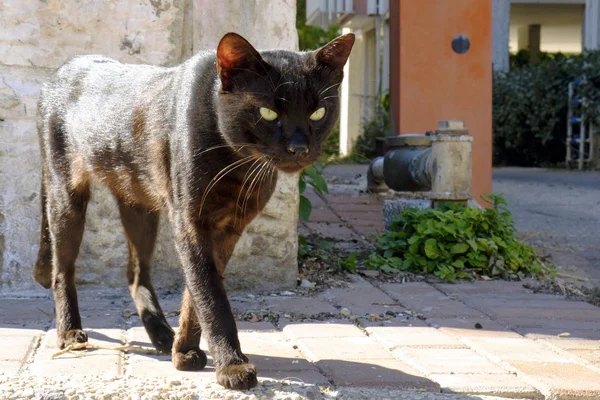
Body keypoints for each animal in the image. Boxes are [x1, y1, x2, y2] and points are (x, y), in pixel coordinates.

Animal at [34, 32, 352, 390]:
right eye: (268, 113)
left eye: (318, 113)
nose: (299, 148)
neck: (237, 165)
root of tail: (62, 69)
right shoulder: (190, 223)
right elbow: (211, 296)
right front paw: (231, 365)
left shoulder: (228, 229)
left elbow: (195, 295)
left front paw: (184, 351)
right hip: (66, 195)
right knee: (63, 269)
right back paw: (70, 332)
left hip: (139, 207)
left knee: (136, 273)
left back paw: (160, 334)